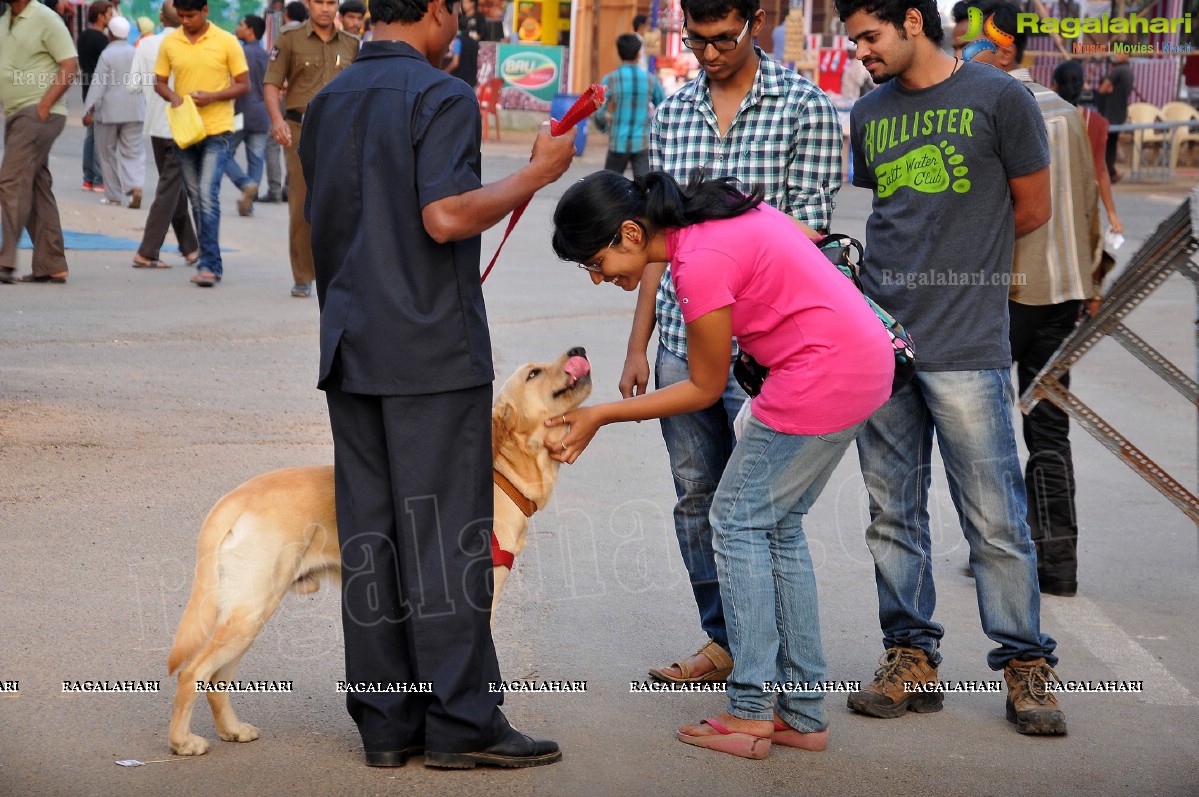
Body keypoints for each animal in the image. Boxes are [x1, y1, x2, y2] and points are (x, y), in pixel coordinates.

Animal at [169, 347, 594, 752]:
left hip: (249, 614)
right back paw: (182, 741)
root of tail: (236, 497)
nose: (579, 349)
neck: (503, 477)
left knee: (216, 678)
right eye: (533, 373)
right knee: (192, 672)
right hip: (251, 609)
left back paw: (232, 729)